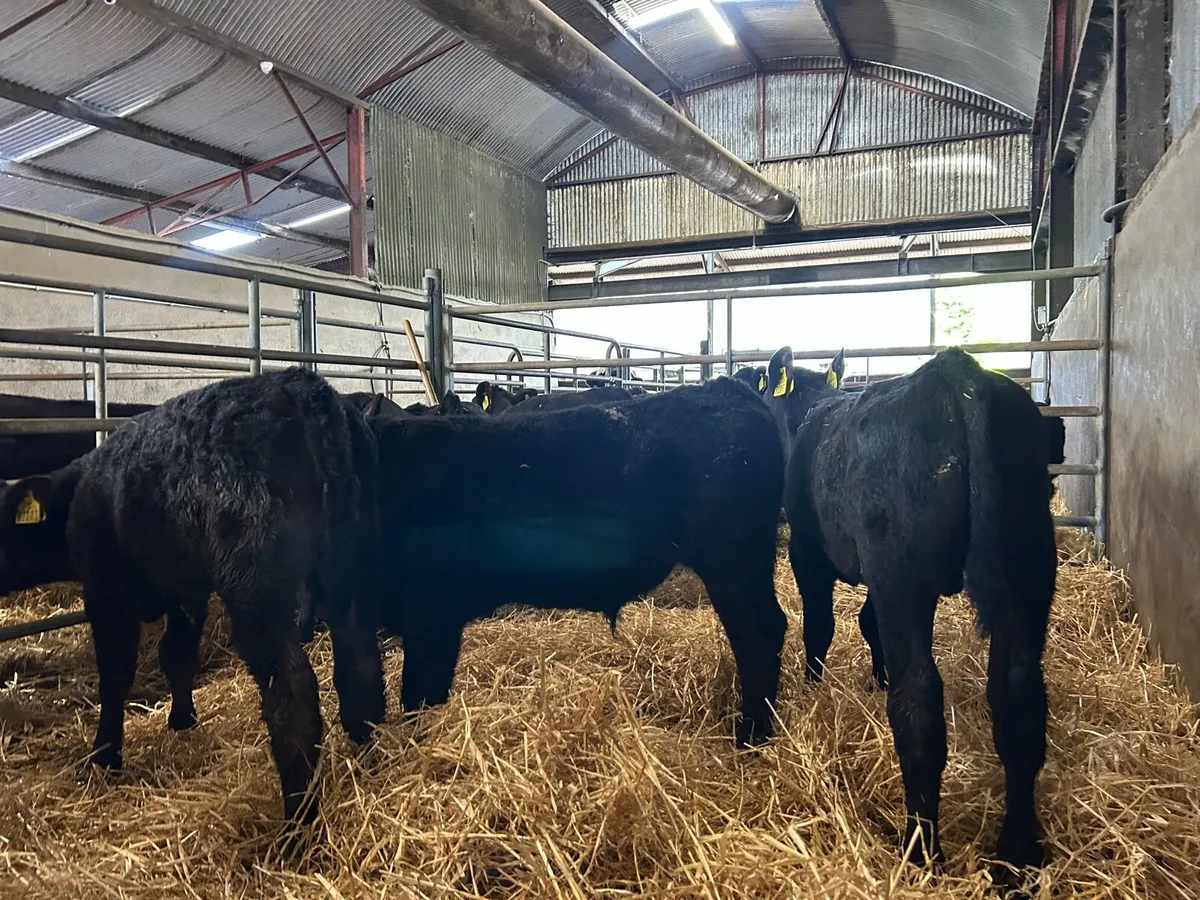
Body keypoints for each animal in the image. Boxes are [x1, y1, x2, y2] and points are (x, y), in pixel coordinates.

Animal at [0, 368, 385, 826]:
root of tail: (298, 384)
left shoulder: (106, 594)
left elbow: (115, 675)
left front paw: (103, 755)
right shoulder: (187, 592)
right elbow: (177, 655)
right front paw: (182, 718)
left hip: (257, 590)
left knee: (293, 695)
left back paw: (296, 824)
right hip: (350, 567)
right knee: (360, 665)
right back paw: (370, 762)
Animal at [369, 376, 786, 747]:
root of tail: (726, 389)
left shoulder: (430, 612)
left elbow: (421, 694)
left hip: (733, 559)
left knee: (758, 632)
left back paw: (750, 738)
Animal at [763, 344, 1057, 881]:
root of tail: (956, 373)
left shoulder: (808, 551)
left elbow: (820, 626)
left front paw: (813, 687)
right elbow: (867, 623)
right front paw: (875, 676)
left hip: (901, 568)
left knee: (919, 697)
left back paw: (920, 849)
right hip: (1029, 565)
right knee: (1019, 698)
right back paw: (1018, 857)